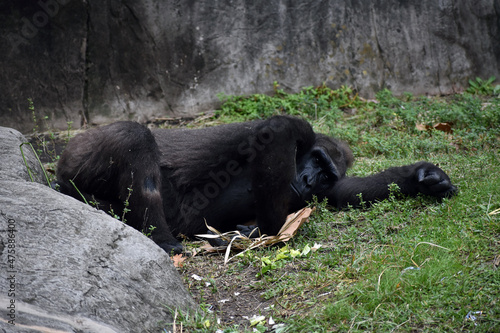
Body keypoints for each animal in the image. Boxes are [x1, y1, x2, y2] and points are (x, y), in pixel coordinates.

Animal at [55, 115, 458, 253]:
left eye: (325, 175)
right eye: (315, 162)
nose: (308, 181)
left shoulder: (330, 187)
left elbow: (348, 191)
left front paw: (423, 178)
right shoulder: (284, 133)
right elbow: (280, 129)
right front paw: (266, 230)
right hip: (75, 156)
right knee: (133, 136)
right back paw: (163, 238)